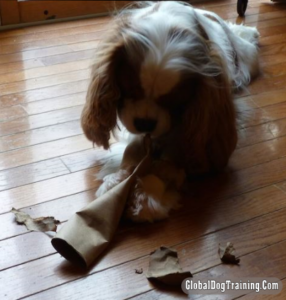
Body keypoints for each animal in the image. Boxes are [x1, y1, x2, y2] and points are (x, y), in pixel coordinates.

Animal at [80, 1, 260, 221]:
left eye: (174, 100)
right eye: (130, 89)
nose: (145, 123)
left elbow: (177, 154)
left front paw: (148, 195)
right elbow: (134, 148)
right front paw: (118, 182)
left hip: (249, 61)